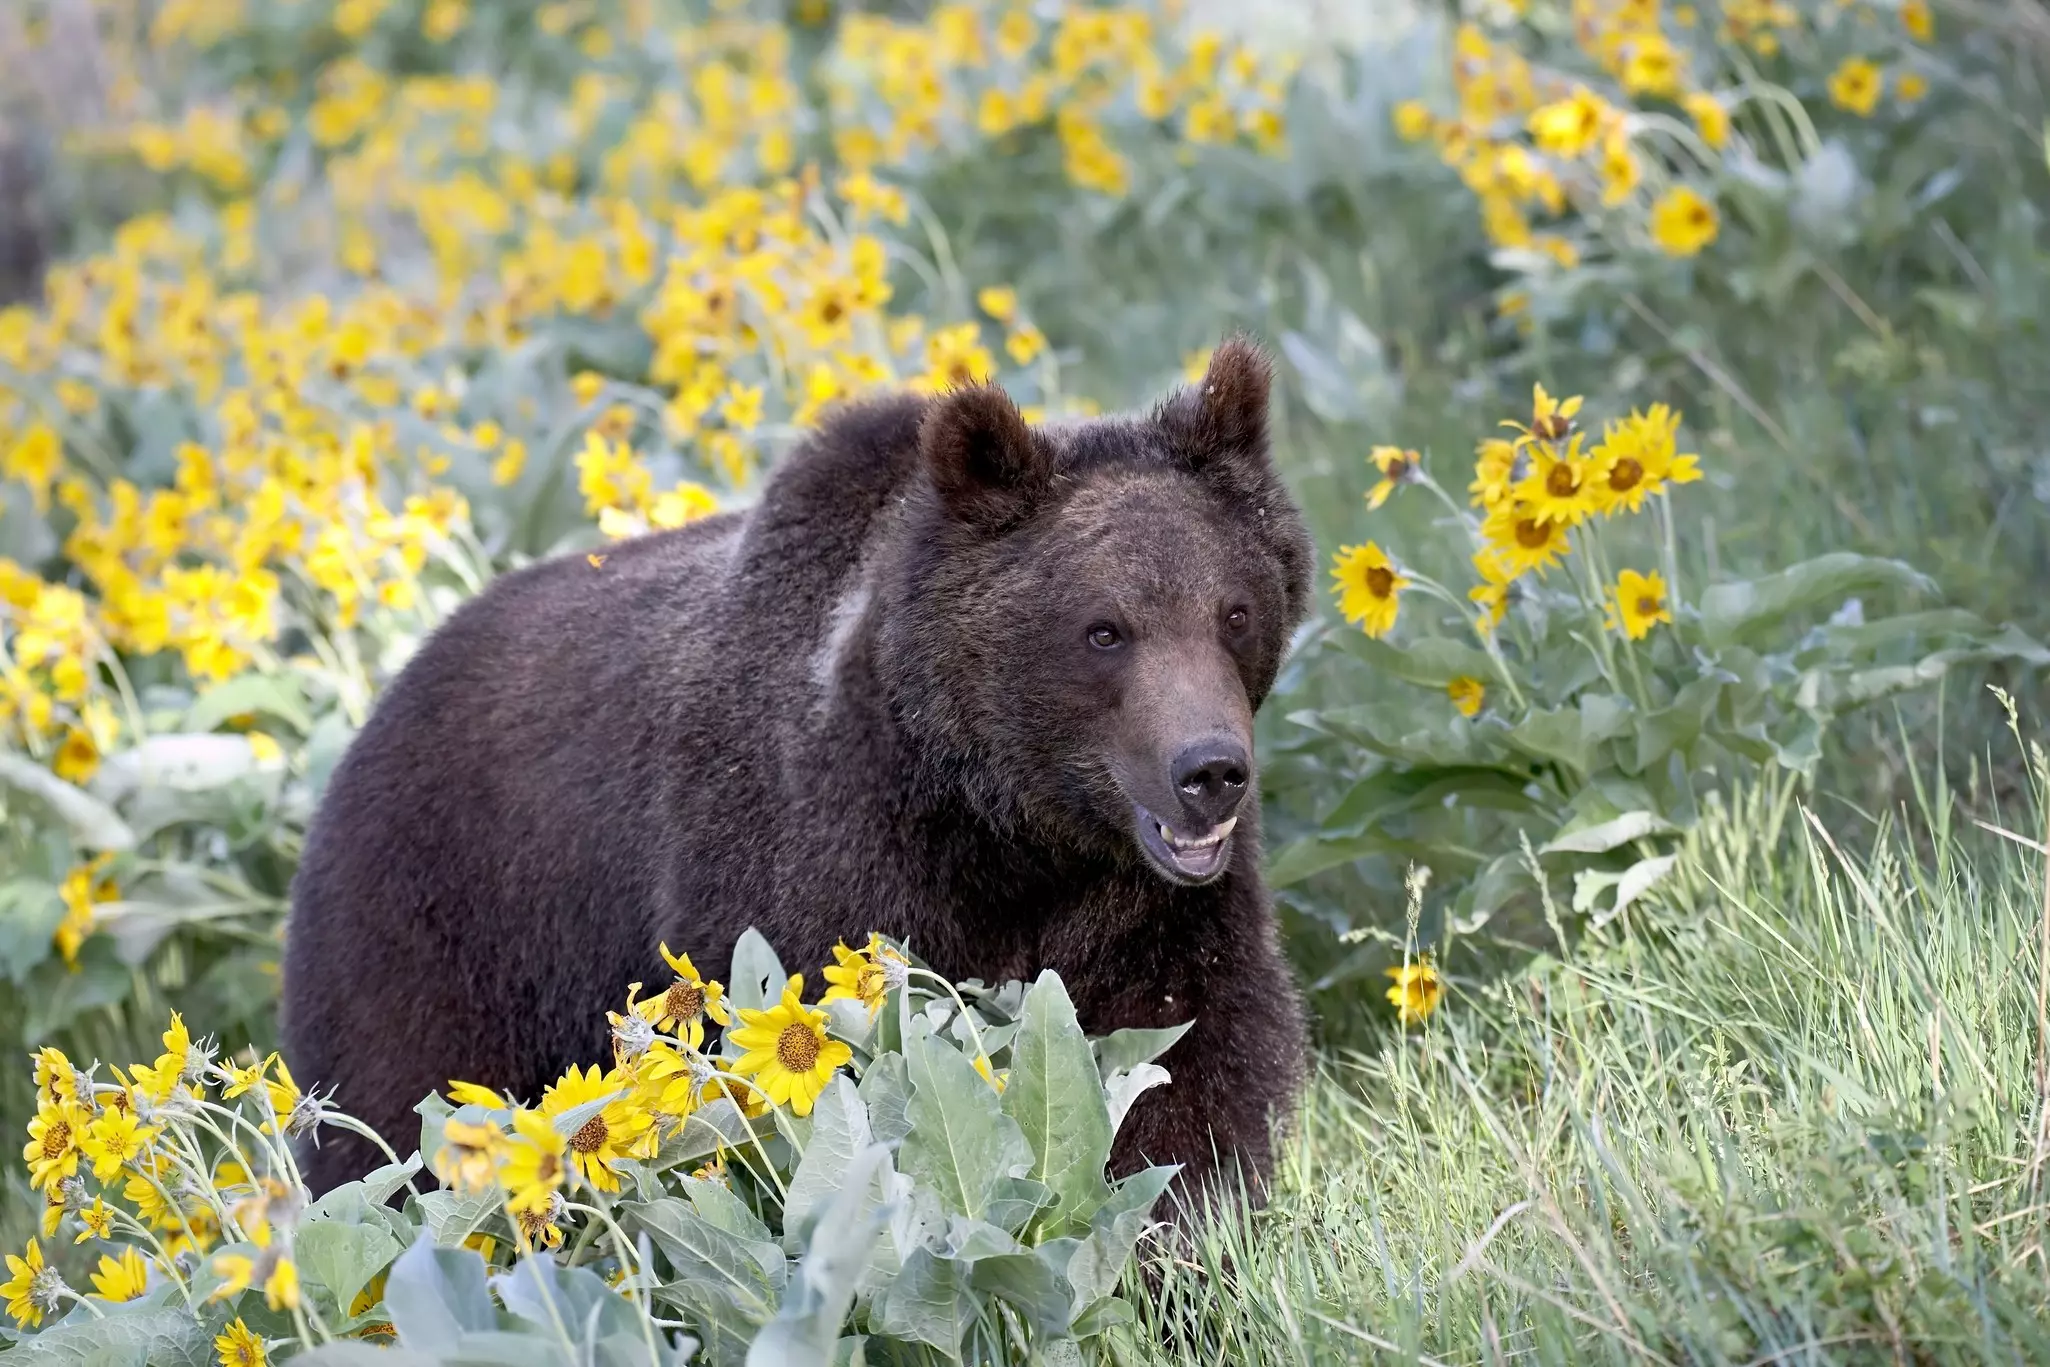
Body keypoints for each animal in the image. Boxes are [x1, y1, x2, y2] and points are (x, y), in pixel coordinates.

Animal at [281, 336, 1314, 1208]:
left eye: (1234, 610)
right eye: (1104, 629)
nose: (1209, 770)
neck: (1006, 828)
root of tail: (391, 687)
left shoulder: (1144, 907)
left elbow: (1192, 1056)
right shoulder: (825, 862)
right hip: (445, 919)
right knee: (388, 1119)